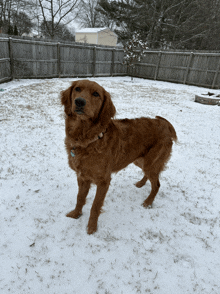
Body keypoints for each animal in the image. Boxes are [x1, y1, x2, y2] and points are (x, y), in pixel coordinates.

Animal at [61, 79, 178, 233]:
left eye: (96, 94)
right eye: (77, 89)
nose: (79, 101)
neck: (87, 139)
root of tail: (165, 124)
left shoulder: (104, 181)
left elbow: (95, 206)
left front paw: (92, 227)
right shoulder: (82, 177)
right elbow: (80, 198)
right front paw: (76, 214)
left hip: (150, 162)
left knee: (157, 184)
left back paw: (148, 202)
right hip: (140, 160)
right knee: (151, 176)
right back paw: (141, 183)